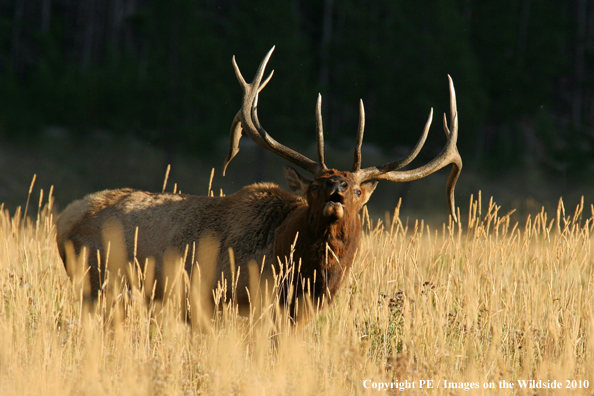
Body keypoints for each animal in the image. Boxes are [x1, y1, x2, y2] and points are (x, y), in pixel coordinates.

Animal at [55, 48, 460, 322]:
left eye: (359, 191)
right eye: (314, 186)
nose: (338, 188)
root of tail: (63, 219)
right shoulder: (233, 302)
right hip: (99, 284)